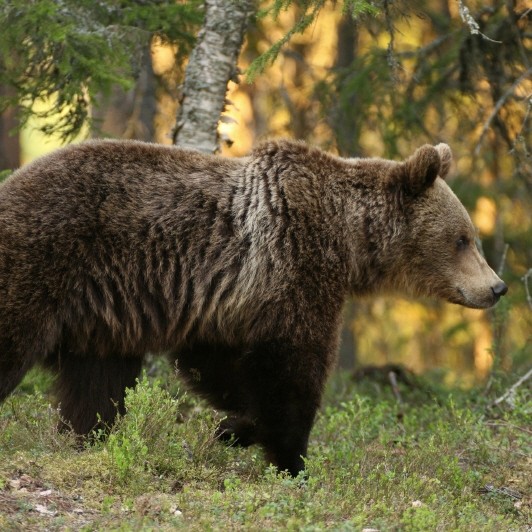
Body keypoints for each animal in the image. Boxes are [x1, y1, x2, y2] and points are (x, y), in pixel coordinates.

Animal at [0, 139, 508, 476]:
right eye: (462, 239)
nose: (497, 286)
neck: (349, 242)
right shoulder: (294, 265)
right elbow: (293, 369)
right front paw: (292, 460)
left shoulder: (222, 303)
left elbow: (217, 365)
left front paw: (233, 429)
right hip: (41, 262)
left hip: (102, 316)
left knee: (97, 383)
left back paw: (89, 439)